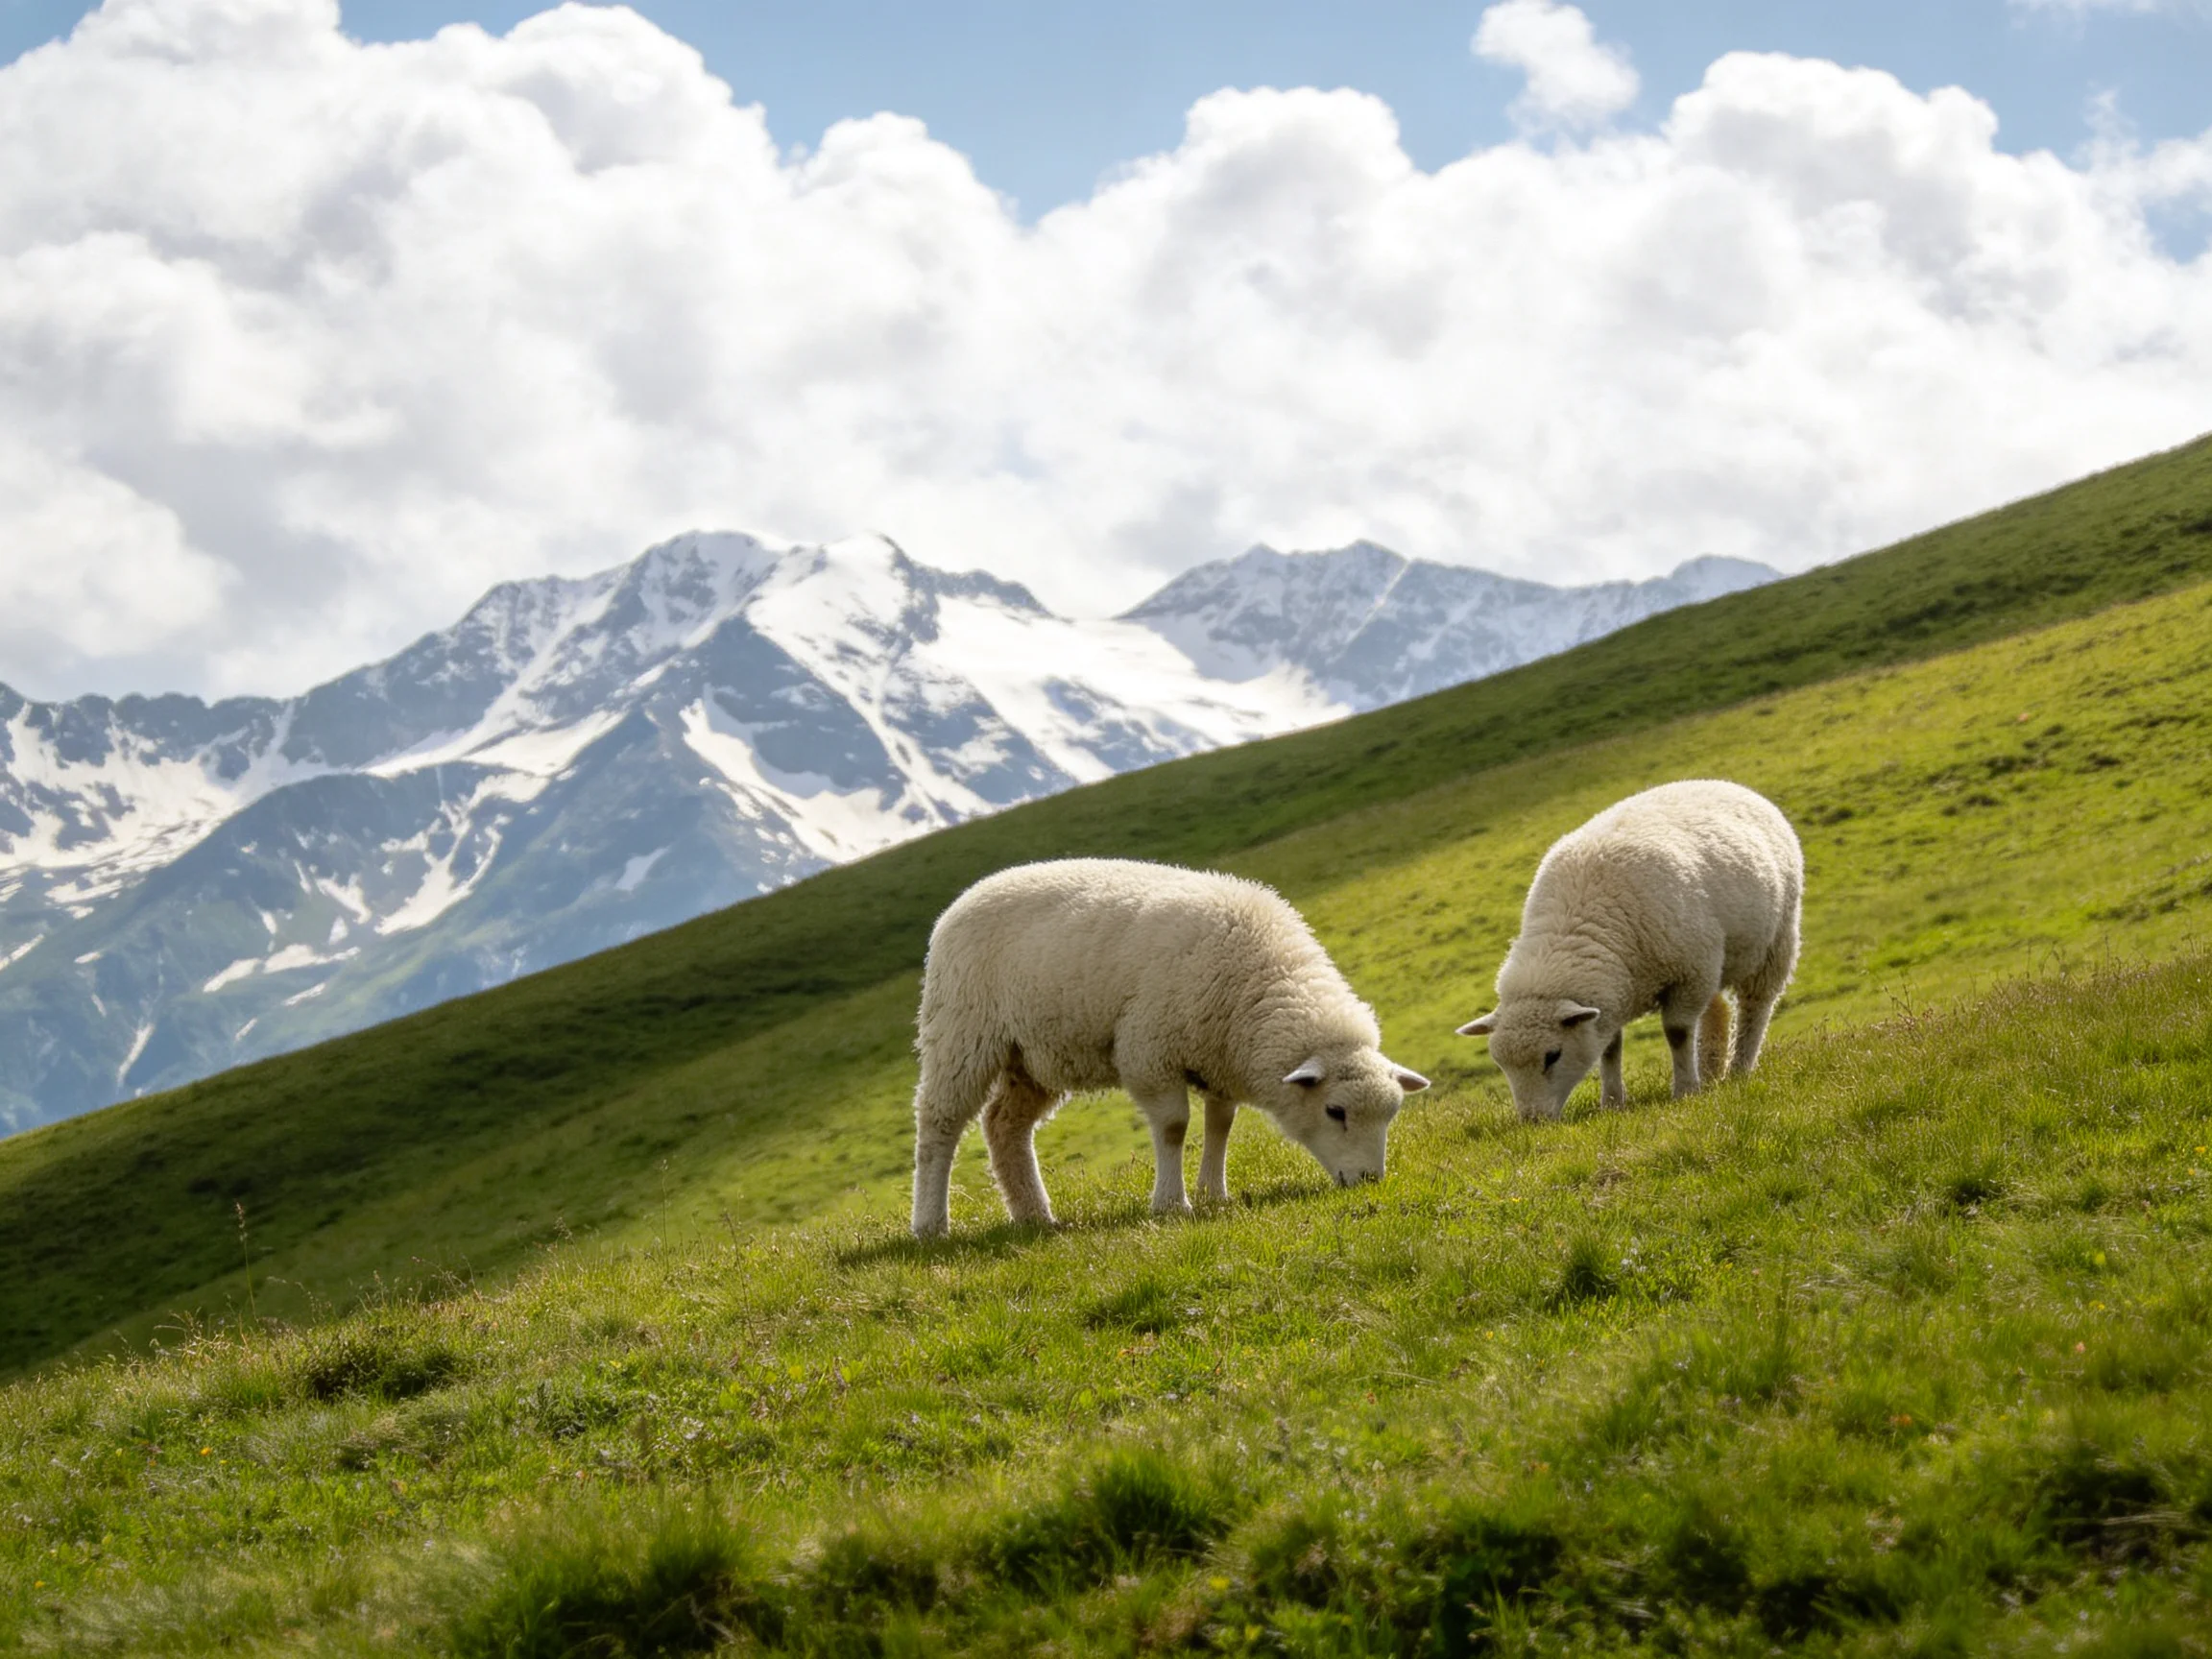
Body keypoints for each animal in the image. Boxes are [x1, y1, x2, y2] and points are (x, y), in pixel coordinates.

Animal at [909, 858, 1429, 1238]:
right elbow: (1176, 1128)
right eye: (1335, 1112)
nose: (1369, 1181)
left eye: (1391, 1114)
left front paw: (1215, 1194)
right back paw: (931, 1226)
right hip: (962, 1035)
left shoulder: (1219, 1056)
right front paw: (1171, 1204)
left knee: (1005, 1127)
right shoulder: (1149, 1052)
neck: (1262, 983)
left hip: (1034, 1057)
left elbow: (1221, 1124)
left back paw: (1035, 1216)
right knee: (939, 1125)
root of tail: (963, 899)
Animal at [1456, 779, 1801, 1121]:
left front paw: (1685, 1091)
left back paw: (1739, 1070)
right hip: (1715, 964)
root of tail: (1725, 783)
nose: (1533, 1121)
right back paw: (1711, 1072)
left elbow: (1677, 1032)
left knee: (1755, 1007)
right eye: (1501, 1065)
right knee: (1717, 1009)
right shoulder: (1615, 995)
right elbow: (1610, 1048)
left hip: (1774, 941)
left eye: (1553, 1056)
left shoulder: (1688, 973)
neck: (1575, 927)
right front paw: (1612, 1103)